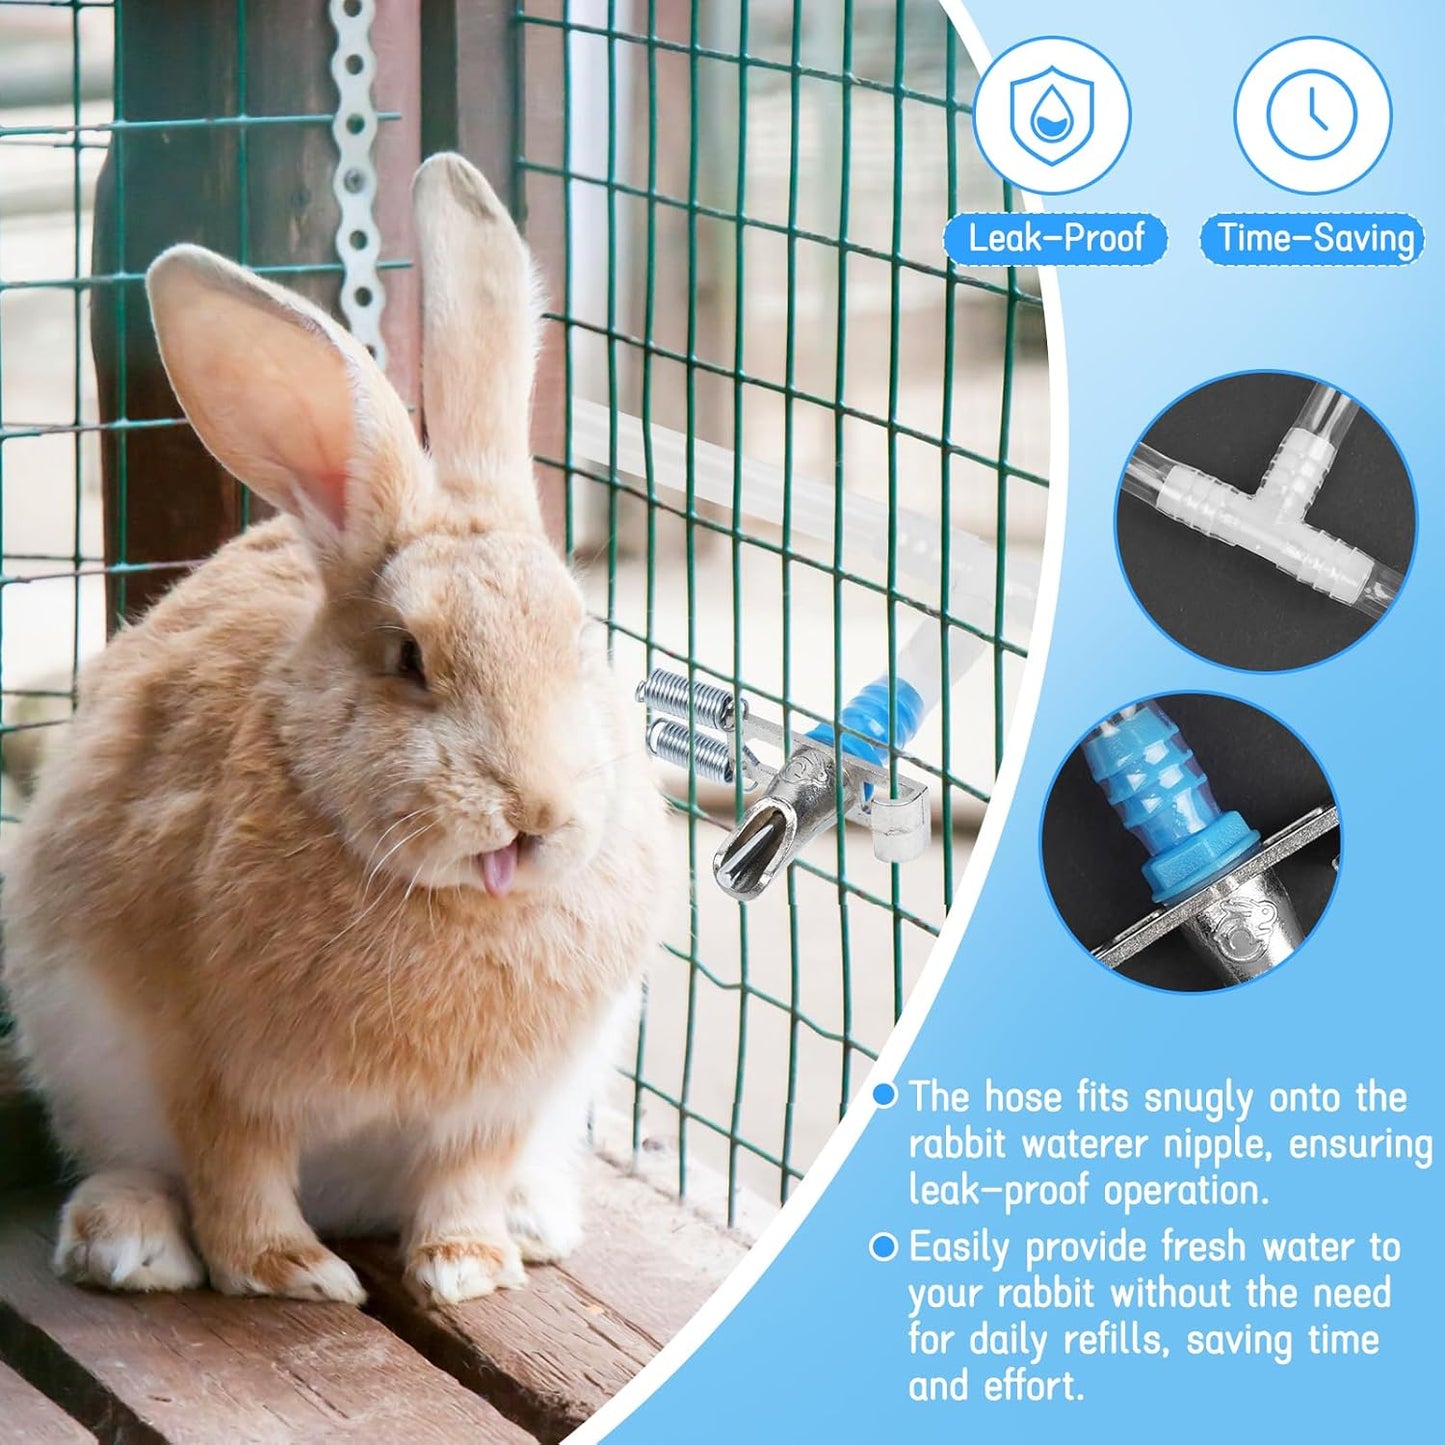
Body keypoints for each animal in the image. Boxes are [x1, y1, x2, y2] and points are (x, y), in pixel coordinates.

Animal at [0, 152, 669, 1307]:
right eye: (408, 658)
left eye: (582, 636)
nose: (535, 812)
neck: (445, 900)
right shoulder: (216, 1073)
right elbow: (238, 1173)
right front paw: (292, 1274)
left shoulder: (493, 1108)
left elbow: (461, 1180)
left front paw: (467, 1268)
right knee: (132, 1163)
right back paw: (128, 1242)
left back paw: (532, 1220)